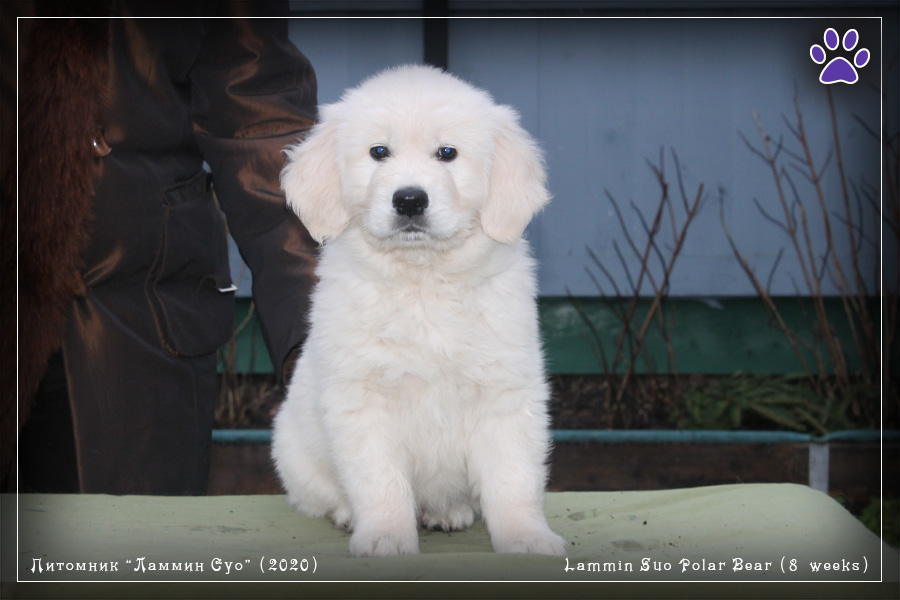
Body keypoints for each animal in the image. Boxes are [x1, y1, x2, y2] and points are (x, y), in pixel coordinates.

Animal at [271, 65, 566, 558]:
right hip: (294, 454)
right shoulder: (362, 399)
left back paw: (448, 513)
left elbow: (513, 478)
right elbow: (380, 480)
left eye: (447, 153)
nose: (409, 200)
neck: (423, 281)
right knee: (323, 495)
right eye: (378, 152)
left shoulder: (506, 392)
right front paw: (386, 537)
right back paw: (349, 515)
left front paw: (526, 538)